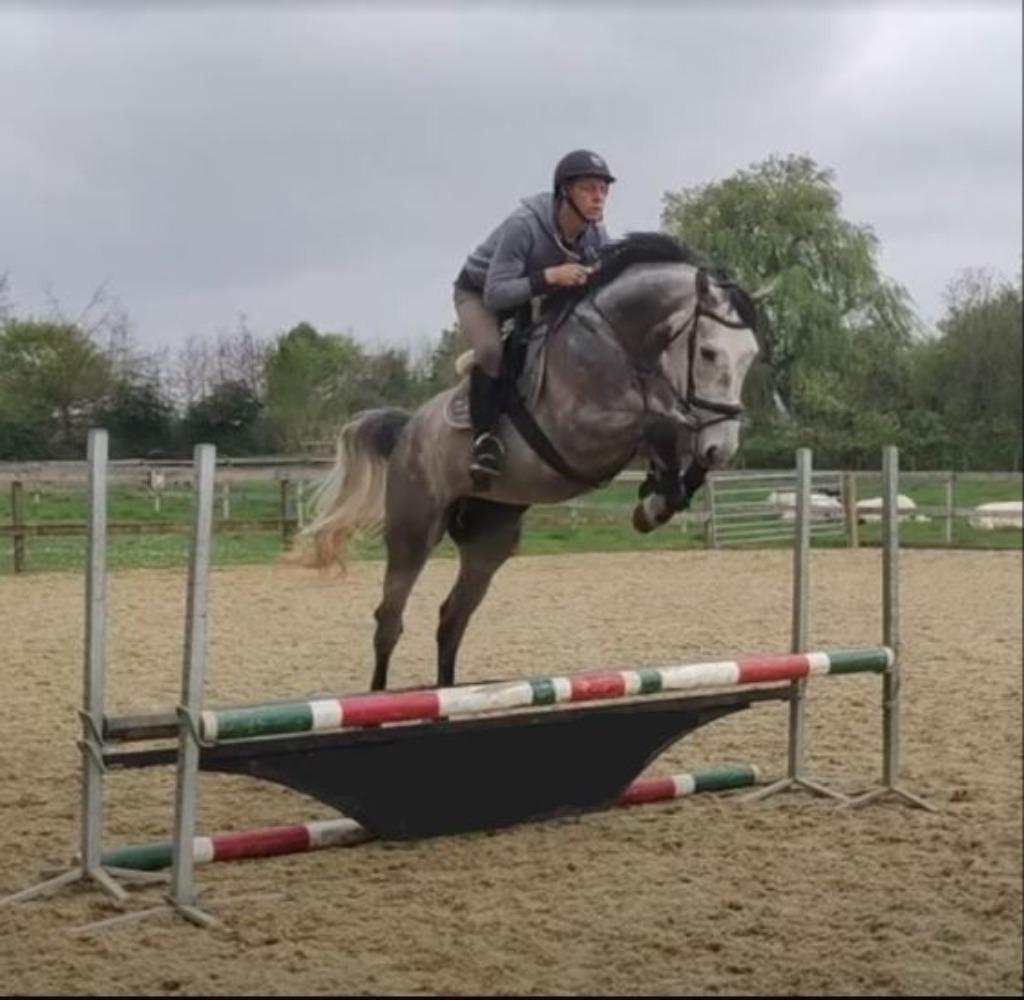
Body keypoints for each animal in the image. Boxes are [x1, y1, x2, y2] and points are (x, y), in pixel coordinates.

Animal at [294, 233, 763, 691]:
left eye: (751, 356)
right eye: (708, 353)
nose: (723, 448)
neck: (617, 339)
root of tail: (409, 428)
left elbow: (678, 439)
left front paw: (657, 500)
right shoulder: (580, 436)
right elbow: (657, 423)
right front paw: (656, 498)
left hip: (490, 539)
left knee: (452, 618)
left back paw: (449, 693)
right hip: (413, 531)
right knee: (389, 620)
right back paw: (382, 698)